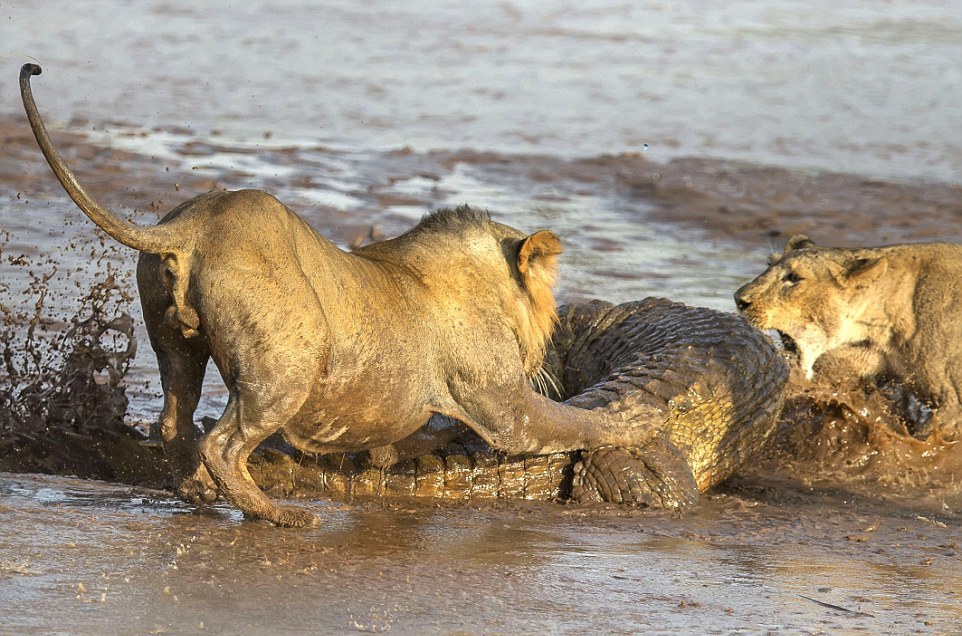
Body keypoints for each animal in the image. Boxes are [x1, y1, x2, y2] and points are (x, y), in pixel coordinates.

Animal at [18, 66, 648, 528]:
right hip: (288, 366)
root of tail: (193, 225)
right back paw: (280, 515)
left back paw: (197, 491)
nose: (546, 357)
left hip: (177, 346)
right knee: (223, 444)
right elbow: (573, 422)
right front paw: (632, 425)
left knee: (177, 424)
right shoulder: (507, 410)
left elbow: (407, 441)